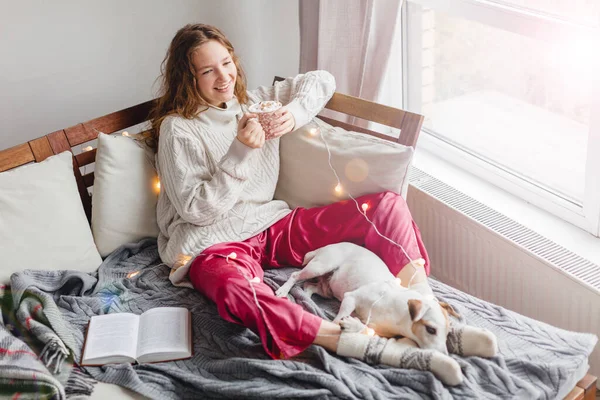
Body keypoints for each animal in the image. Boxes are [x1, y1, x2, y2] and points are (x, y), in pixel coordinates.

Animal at [276, 242, 460, 354]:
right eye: (431, 330)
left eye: (448, 334)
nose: (444, 355)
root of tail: (331, 245)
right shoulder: (350, 298)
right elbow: (337, 320)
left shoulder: (377, 329)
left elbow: (364, 328)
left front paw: (351, 324)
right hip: (320, 267)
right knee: (295, 275)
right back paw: (283, 291)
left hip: (326, 288)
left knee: (308, 287)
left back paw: (307, 301)